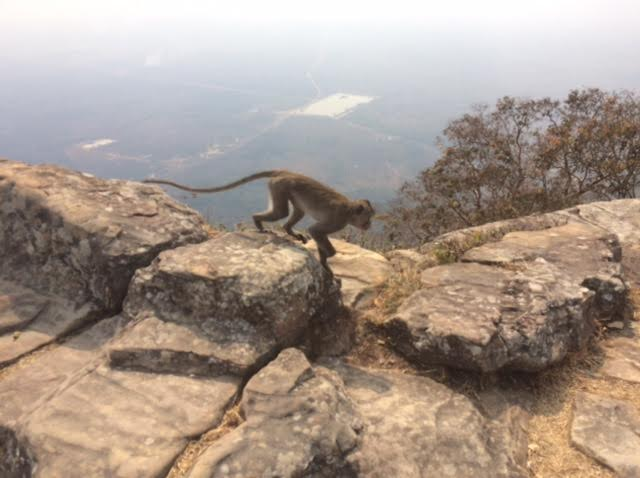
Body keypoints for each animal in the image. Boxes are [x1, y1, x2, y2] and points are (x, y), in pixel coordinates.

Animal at [142, 172, 376, 276]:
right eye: (368, 218)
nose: (369, 226)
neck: (349, 211)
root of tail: (286, 172)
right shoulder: (337, 220)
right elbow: (316, 230)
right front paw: (328, 256)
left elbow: (316, 232)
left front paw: (324, 259)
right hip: (280, 186)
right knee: (282, 212)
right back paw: (258, 222)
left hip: (283, 188)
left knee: (295, 211)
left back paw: (289, 231)